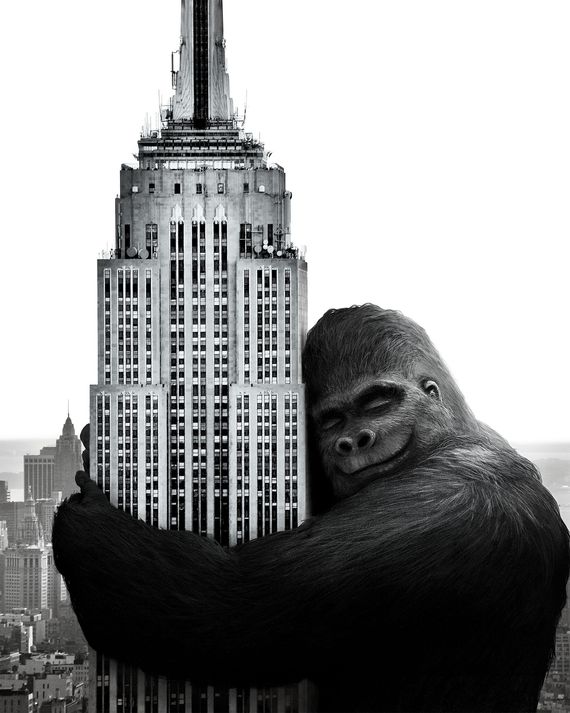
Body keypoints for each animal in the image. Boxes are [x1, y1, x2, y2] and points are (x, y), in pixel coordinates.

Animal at [51, 304, 564, 712]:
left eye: (378, 402)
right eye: (332, 420)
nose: (353, 441)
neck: (454, 436)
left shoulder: (437, 510)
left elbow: (228, 612)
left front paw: (87, 527)